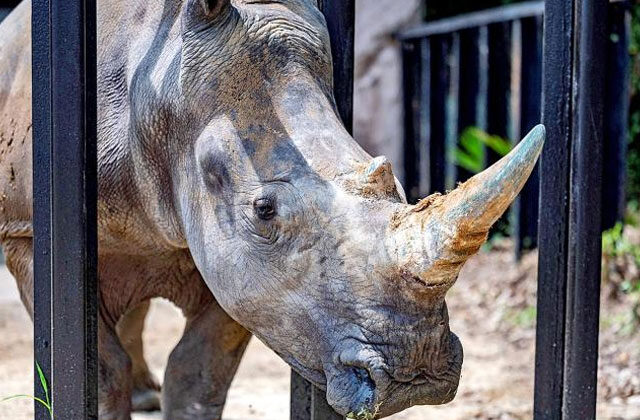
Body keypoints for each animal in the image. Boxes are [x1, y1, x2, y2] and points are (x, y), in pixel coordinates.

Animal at [0, 0, 544, 418]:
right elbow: (101, 369)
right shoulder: (27, 230)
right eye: (264, 210)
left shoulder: (242, 270)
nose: (419, 374)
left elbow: (199, 372)